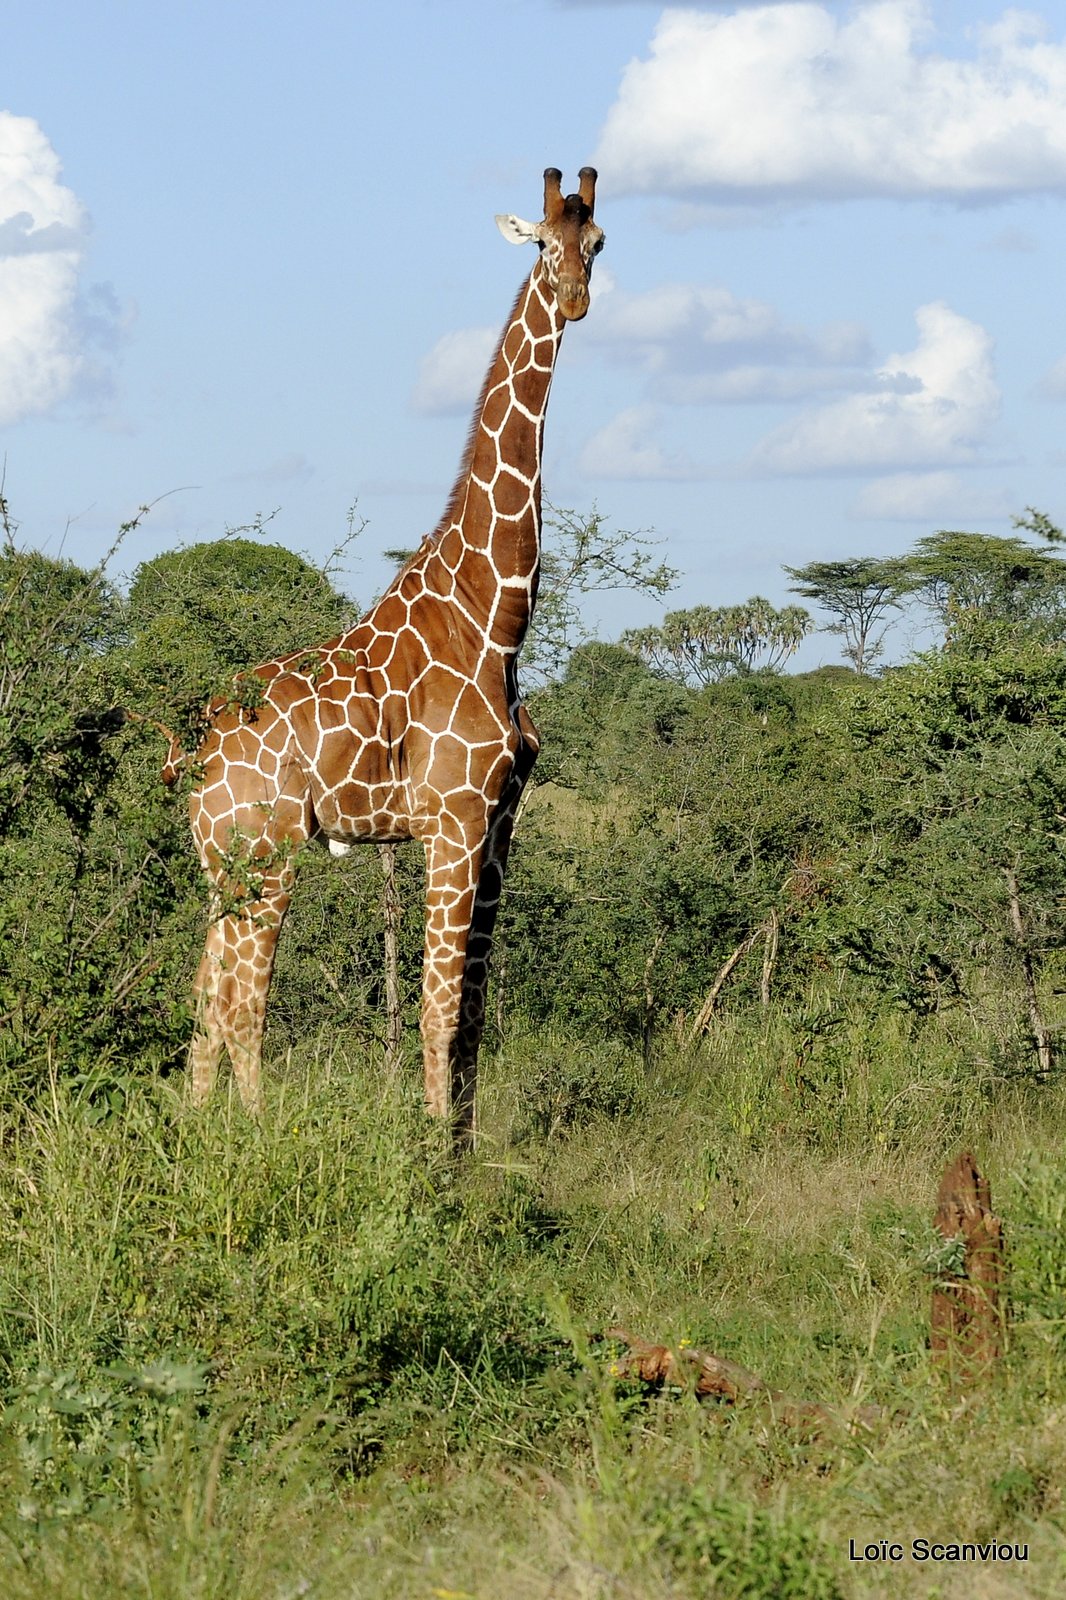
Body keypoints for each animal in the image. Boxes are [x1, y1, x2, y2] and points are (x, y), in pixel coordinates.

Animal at [178, 165, 601, 1139]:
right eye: (540, 243)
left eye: (596, 242)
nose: (573, 296)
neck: (495, 614)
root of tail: (196, 747)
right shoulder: (453, 819)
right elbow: (437, 1009)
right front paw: (431, 1152)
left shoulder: (501, 822)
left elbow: (473, 1011)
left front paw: (467, 1149)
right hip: (268, 854)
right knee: (244, 1007)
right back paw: (255, 1142)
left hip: (223, 862)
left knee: (205, 1001)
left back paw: (201, 1133)